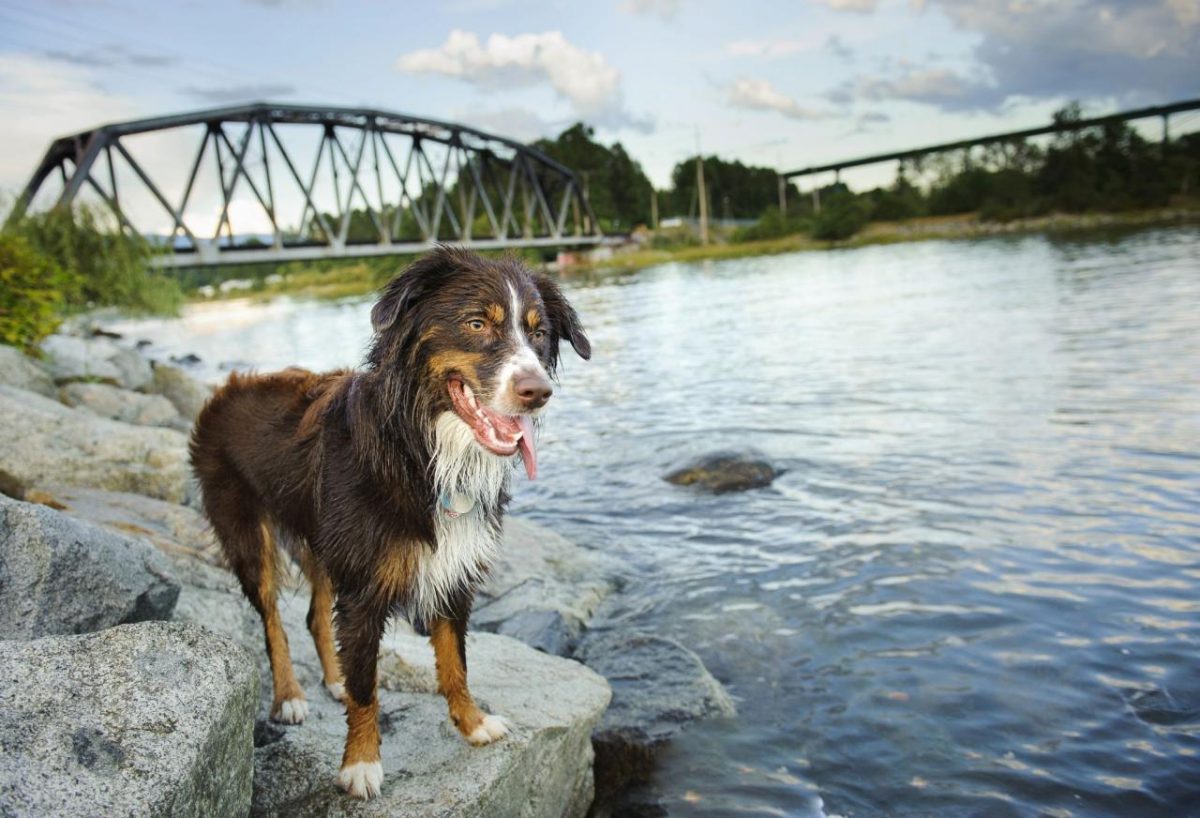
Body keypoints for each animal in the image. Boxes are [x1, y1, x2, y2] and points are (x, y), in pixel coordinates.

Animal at [188, 247, 595, 796]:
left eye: (539, 333)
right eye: (476, 323)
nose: (539, 391)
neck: (421, 449)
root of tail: (225, 388)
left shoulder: (452, 572)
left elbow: (455, 663)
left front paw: (472, 724)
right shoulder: (365, 588)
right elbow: (368, 686)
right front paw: (360, 763)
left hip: (323, 541)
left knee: (315, 615)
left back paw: (332, 678)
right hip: (249, 535)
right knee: (273, 619)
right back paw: (289, 696)